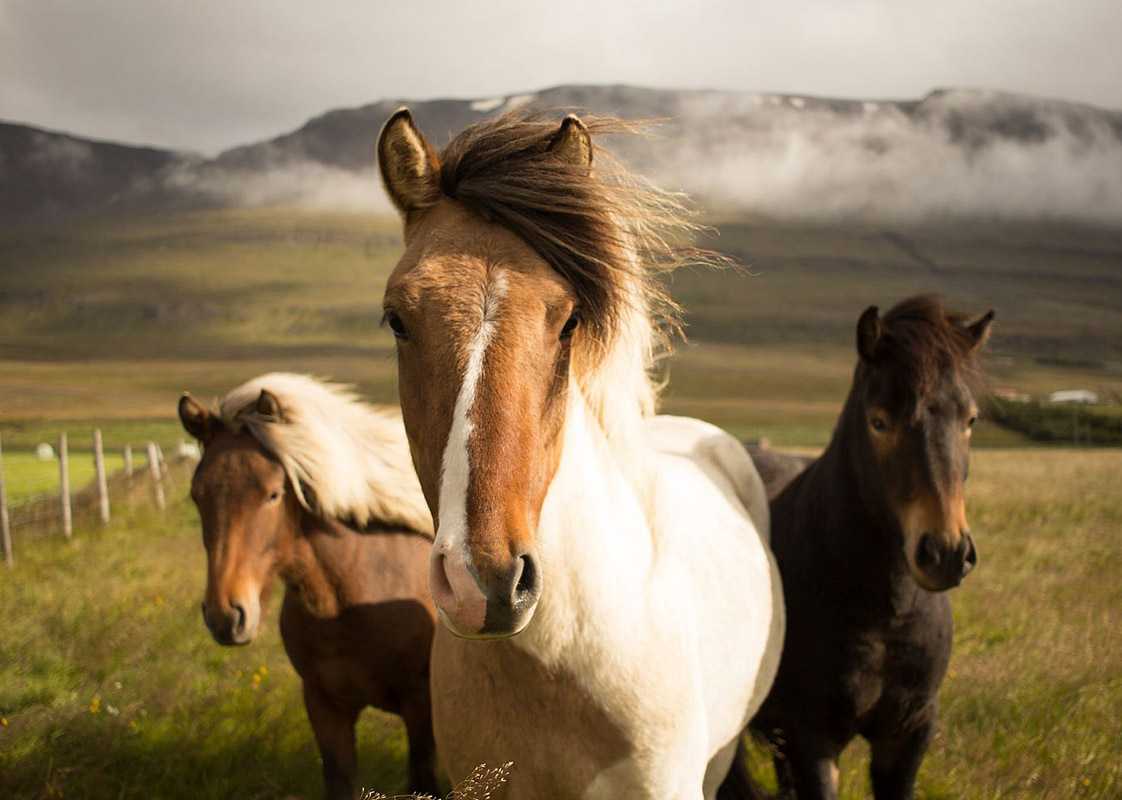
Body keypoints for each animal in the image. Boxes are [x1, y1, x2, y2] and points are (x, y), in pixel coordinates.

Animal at [177, 373, 439, 799]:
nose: (226, 616)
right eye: (197, 495)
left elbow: (424, 780)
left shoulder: (421, 707)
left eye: (272, 493)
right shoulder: (323, 706)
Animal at [748, 296, 994, 799]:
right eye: (879, 421)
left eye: (971, 419)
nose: (945, 553)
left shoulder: (908, 734)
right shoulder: (813, 738)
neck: (885, 614)